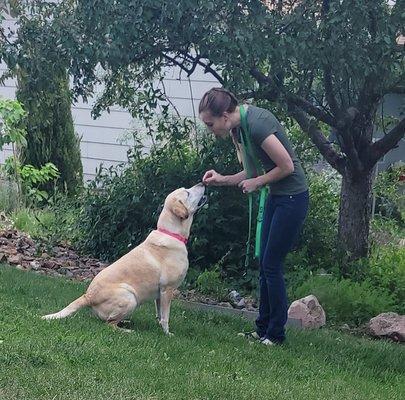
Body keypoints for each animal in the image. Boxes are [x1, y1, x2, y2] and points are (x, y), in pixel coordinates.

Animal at [43, 182, 207, 334]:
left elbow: (160, 315)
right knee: (109, 325)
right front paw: (167, 334)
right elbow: (166, 317)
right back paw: (128, 331)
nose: (202, 182)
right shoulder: (167, 289)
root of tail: (88, 296)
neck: (171, 233)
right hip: (130, 297)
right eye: (187, 193)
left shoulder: (159, 294)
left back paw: (126, 322)